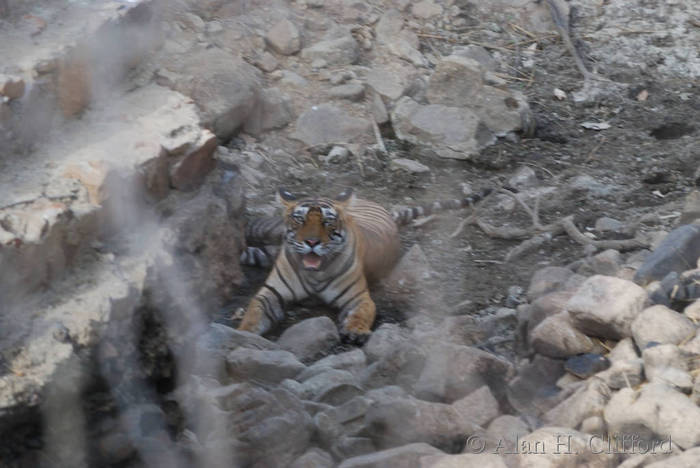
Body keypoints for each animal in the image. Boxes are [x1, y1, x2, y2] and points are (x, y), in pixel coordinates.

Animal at [237, 187, 492, 343]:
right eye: (299, 219)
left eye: (327, 222)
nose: (311, 242)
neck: (314, 273)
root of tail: (384, 210)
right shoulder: (270, 292)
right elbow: (253, 311)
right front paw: (244, 332)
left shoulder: (358, 297)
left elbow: (364, 311)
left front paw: (355, 330)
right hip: (269, 232)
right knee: (254, 234)